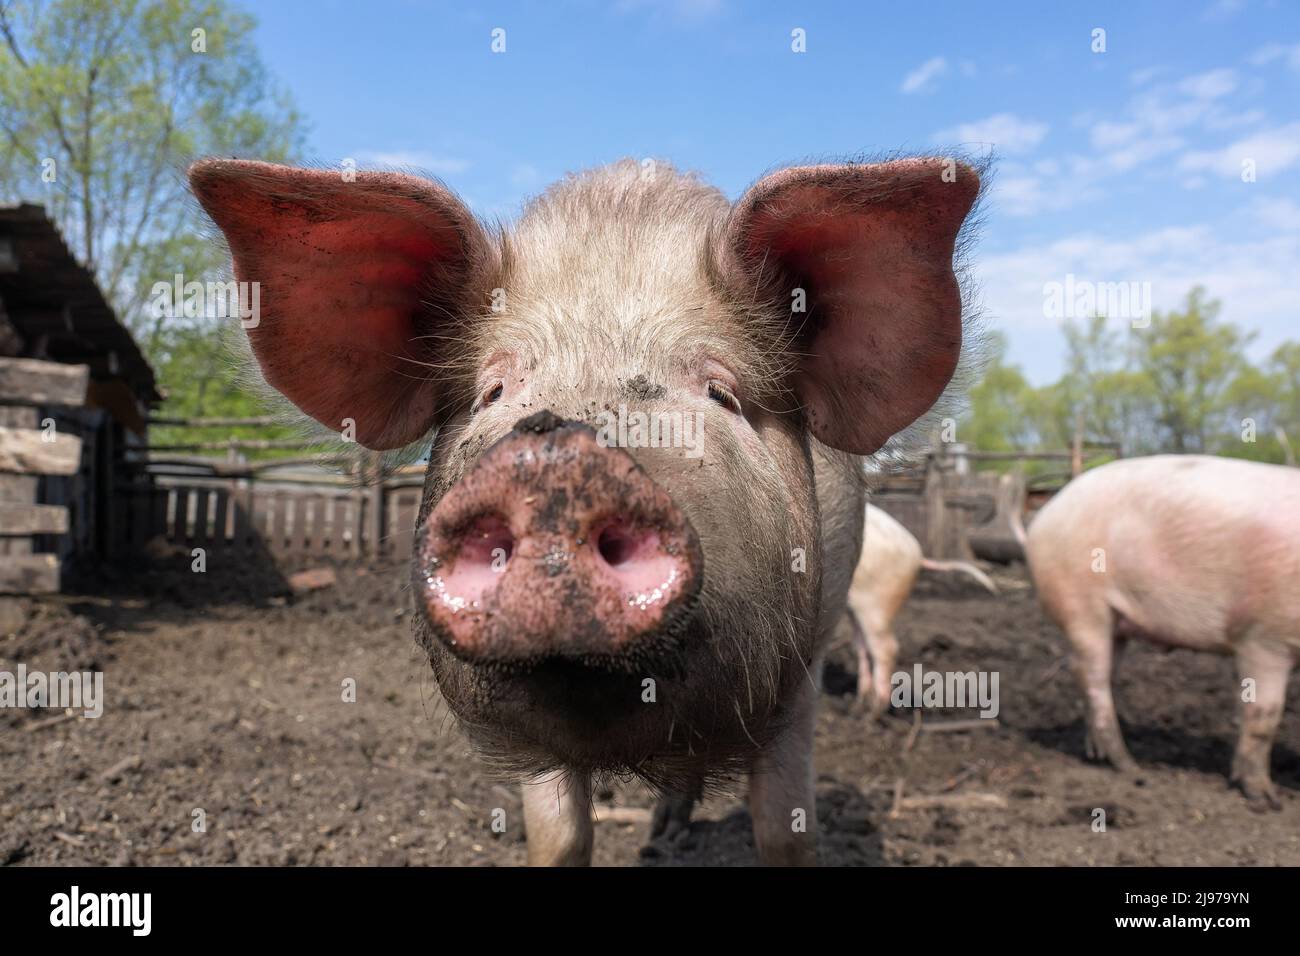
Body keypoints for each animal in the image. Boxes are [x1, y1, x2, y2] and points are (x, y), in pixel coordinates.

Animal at [845, 503, 997, 716]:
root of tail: (918, 555)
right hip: (856, 604)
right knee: (862, 646)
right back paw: (857, 706)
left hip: (875, 601)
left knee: (886, 648)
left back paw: (873, 713)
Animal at [1025, 454, 1300, 809]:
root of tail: (1045, 513)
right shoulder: (1263, 636)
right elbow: (1264, 716)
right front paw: (1266, 801)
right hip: (1081, 605)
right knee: (1090, 675)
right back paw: (1131, 768)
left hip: (1114, 624)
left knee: (1098, 675)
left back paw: (1096, 756)